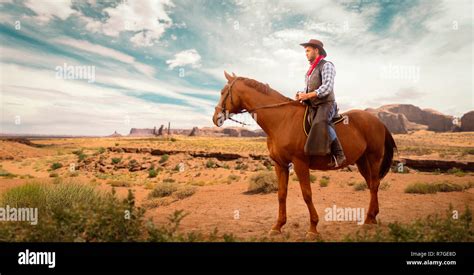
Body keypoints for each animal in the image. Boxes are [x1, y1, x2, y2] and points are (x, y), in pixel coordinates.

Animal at [212, 71, 396, 239]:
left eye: (223, 92)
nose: (215, 117)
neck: (282, 120)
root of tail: (379, 122)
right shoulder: (280, 164)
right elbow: (281, 194)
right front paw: (278, 226)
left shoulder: (300, 163)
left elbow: (307, 194)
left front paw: (313, 228)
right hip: (362, 161)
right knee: (372, 184)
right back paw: (372, 218)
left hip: (373, 158)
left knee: (374, 185)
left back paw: (368, 220)